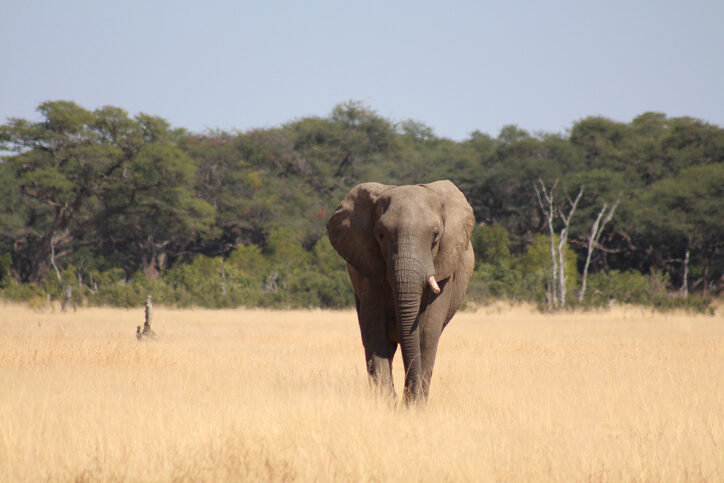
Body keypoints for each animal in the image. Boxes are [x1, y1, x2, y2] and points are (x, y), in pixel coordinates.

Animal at [327, 180, 474, 405]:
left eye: (435, 235)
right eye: (381, 235)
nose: (405, 401)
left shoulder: (445, 269)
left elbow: (426, 335)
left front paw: (413, 406)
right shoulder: (368, 270)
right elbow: (376, 333)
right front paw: (387, 405)